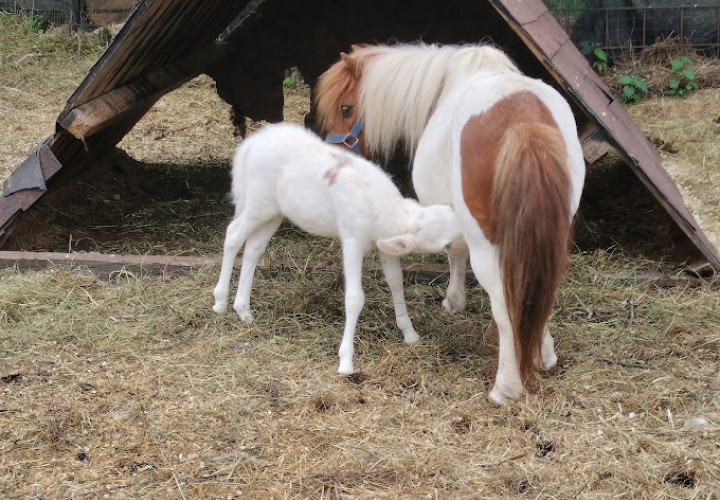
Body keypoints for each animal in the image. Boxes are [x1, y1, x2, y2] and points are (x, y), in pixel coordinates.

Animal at [212, 122, 462, 375]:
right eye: (446, 244)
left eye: (452, 212)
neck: (379, 208)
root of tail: (253, 143)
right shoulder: (352, 241)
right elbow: (354, 298)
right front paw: (346, 361)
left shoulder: (385, 246)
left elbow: (396, 282)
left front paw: (409, 332)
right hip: (258, 202)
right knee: (233, 235)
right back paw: (221, 301)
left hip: (274, 212)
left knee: (253, 248)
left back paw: (243, 309)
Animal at [311, 42, 586, 404]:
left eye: (346, 107)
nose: (333, 157)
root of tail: (524, 120)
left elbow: (455, 253)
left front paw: (454, 301)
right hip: (554, 233)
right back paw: (543, 356)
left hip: (489, 247)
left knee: (504, 305)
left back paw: (505, 387)